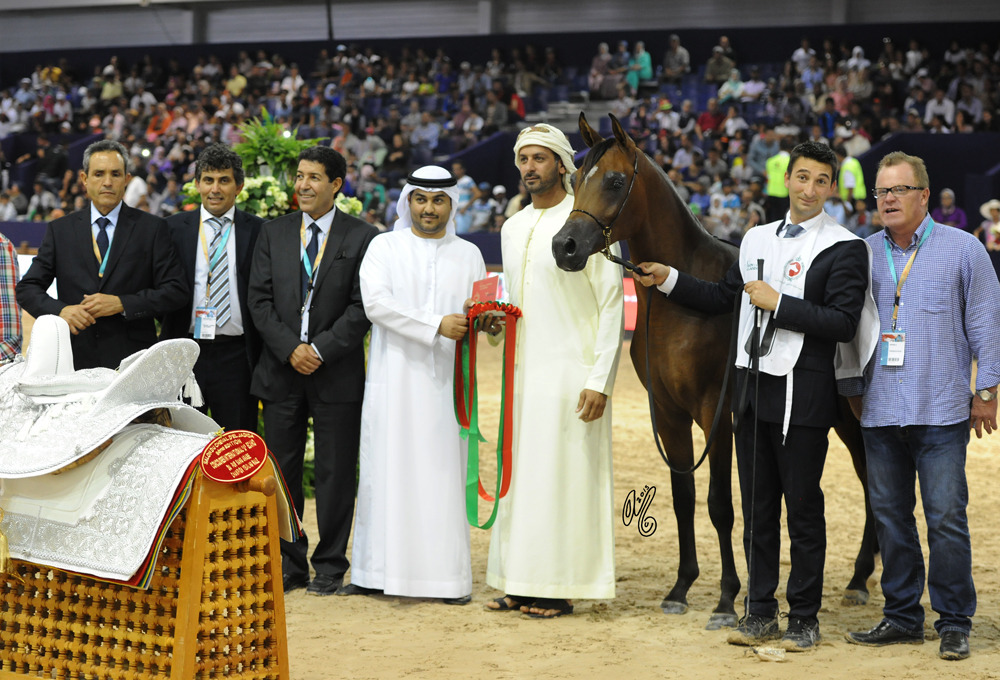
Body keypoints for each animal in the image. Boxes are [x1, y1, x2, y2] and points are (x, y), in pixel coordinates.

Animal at [551, 113, 878, 629]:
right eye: (576, 178)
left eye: (616, 181)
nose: (564, 246)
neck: (685, 304)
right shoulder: (668, 413)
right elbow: (683, 496)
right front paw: (681, 588)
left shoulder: (717, 414)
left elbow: (721, 505)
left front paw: (726, 599)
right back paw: (860, 578)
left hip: (856, 420)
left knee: (875, 487)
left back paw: (862, 581)